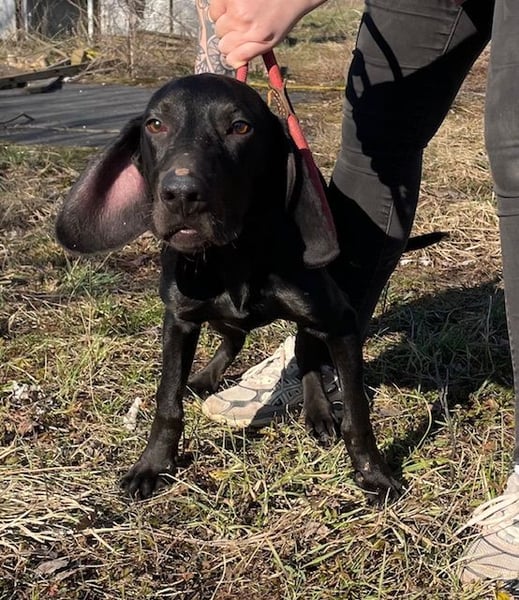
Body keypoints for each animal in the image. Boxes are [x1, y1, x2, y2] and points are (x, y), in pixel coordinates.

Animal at [57, 73, 417, 501]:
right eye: (155, 124)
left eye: (240, 127)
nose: (181, 195)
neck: (234, 255)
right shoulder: (179, 319)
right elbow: (167, 400)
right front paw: (153, 464)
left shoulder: (339, 321)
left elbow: (357, 410)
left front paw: (373, 473)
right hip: (213, 316)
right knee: (237, 337)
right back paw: (205, 377)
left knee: (304, 351)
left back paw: (317, 410)